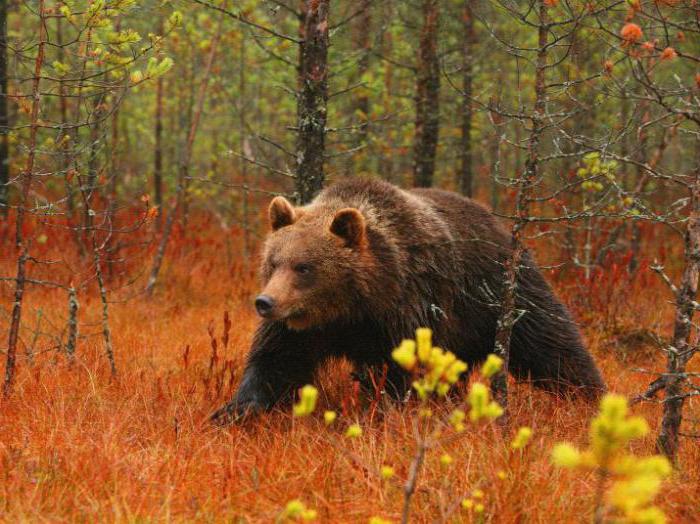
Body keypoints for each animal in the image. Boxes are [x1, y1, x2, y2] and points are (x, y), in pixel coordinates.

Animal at [211, 177, 604, 422]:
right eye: (274, 261)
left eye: (304, 267)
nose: (265, 302)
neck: (355, 305)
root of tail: (498, 223)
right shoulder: (305, 328)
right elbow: (275, 361)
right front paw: (234, 411)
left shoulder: (407, 310)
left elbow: (402, 371)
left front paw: (385, 412)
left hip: (501, 291)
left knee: (550, 342)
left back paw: (590, 395)